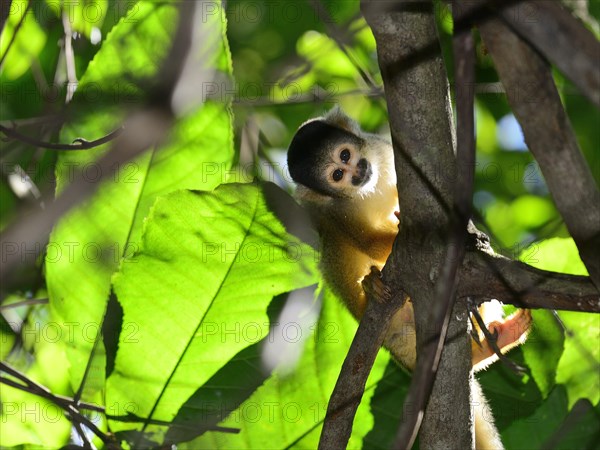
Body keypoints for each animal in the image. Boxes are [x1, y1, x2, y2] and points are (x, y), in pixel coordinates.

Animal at [286, 107, 528, 448]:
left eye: (345, 154)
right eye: (337, 175)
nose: (357, 171)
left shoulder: (381, 150)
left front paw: (469, 232)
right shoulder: (336, 212)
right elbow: (369, 242)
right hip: (393, 330)